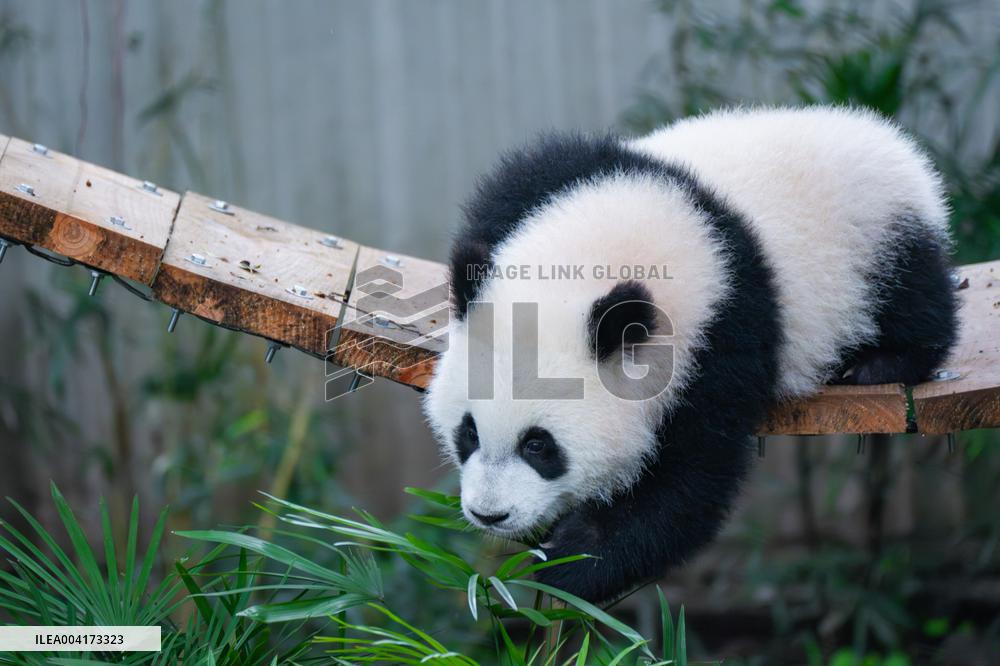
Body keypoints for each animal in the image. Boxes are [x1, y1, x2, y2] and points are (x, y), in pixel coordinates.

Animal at [423, 106, 958, 603]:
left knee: (915, 295)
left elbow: (688, 483)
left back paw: (880, 361)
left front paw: (567, 562)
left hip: (877, 235)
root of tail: (881, 134)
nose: (490, 513)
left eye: (539, 445)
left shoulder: (723, 335)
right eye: (468, 432)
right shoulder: (539, 182)